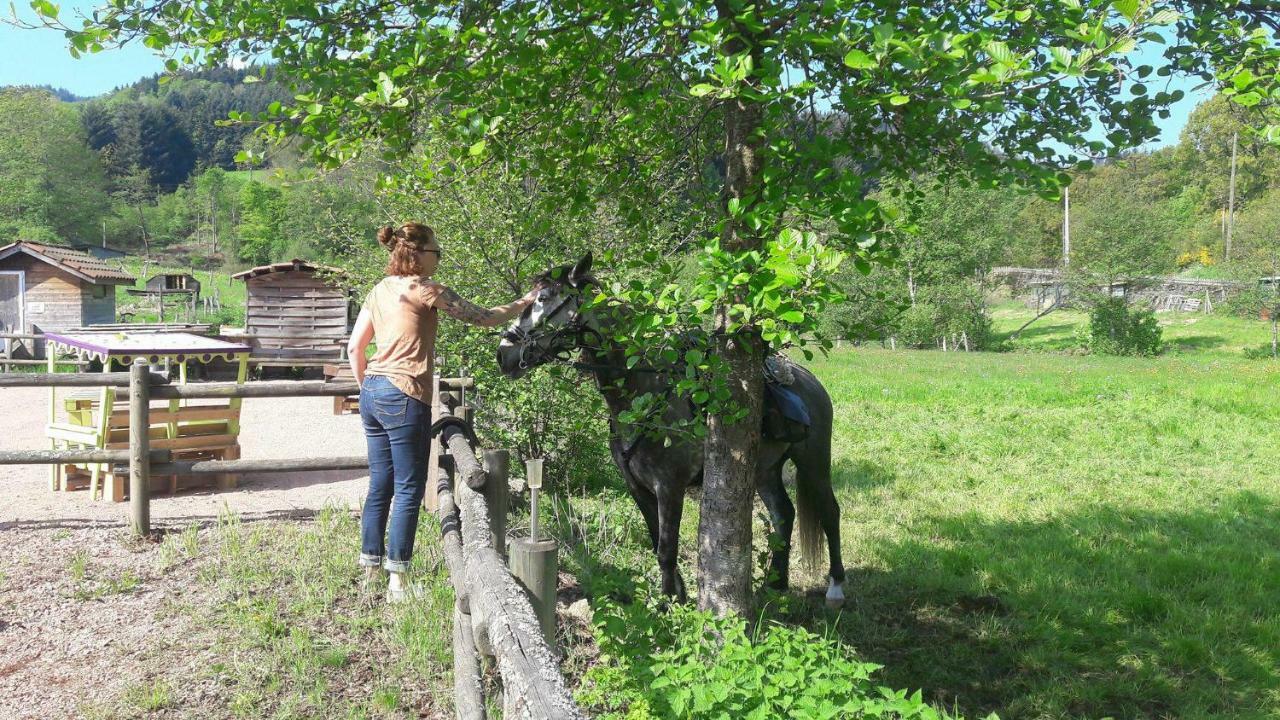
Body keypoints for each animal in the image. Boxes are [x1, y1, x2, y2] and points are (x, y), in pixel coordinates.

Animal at [494, 253, 844, 604]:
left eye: (543, 298)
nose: (503, 354)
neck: (642, 392)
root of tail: (809, 380)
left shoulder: (669, 487)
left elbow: (666, 549)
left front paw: (668, 607)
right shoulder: (637, 487)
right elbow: (656, 543)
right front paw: (676, 597)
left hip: (813, 461)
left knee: (829, 512)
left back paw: (835, 587)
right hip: (764, 469)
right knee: (783, 514)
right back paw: (776, 583)